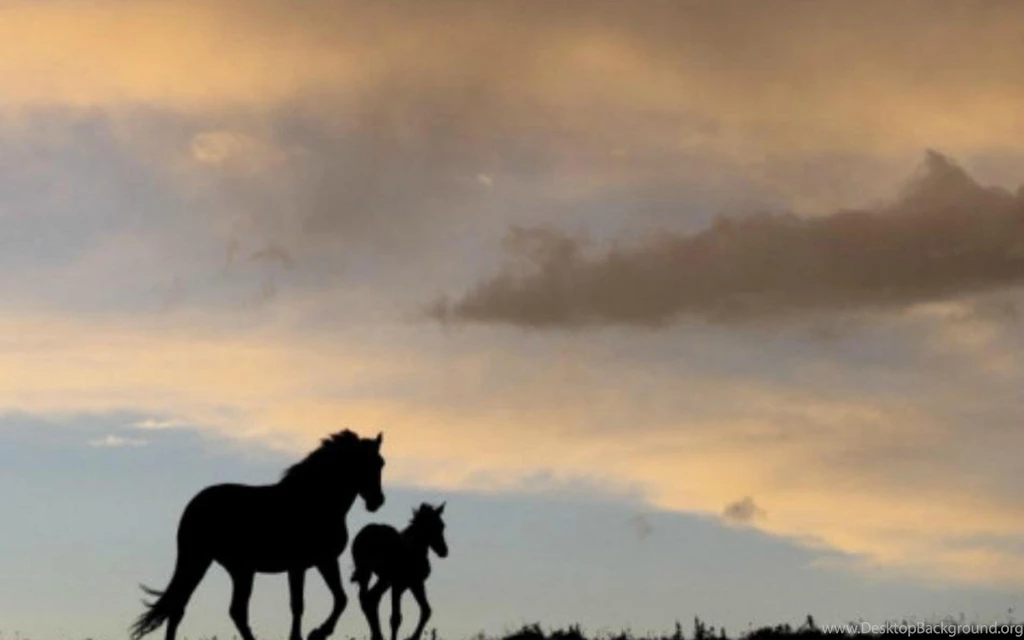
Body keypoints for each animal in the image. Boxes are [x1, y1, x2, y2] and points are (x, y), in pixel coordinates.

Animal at [130, 430, 386, 640]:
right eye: (363, 463)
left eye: (381, 463)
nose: (377, 501)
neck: (315, 500)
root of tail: (194, 505)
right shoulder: (298, 566)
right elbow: (298, 604)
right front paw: (309, 634)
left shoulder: (325, 561)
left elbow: (340, 599)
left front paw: (318, 633)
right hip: (207, 562)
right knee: (193, 607)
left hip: (234, 568)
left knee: (219, 610)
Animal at [351, 502, 448, 640]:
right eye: (428, 526)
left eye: (441, 525)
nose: (443, 551)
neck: (414, 550)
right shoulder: (398, 585)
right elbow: (396, 618)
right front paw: (410, 637)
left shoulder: (415, 584)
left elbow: (426, 610)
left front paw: (413, 637)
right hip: (379, 576)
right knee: (369, 598)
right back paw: (377, 635)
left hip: (371, 575)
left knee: (368, 598)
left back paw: (376, 635)